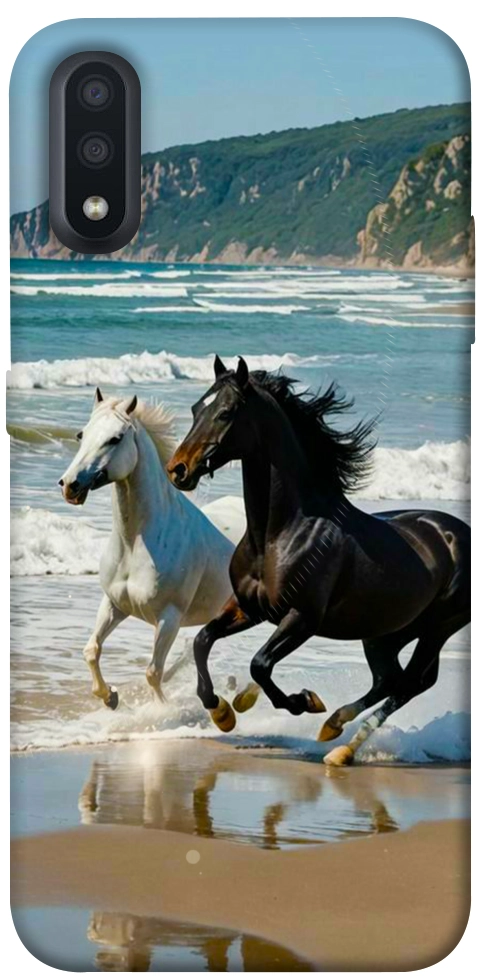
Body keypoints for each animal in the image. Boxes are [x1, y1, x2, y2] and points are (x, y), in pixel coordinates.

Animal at [59, 387, 234, 709]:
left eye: (115, 438)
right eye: (81, 434)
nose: (70, 485)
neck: (135, 544)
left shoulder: (169, 618)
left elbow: (153, 672)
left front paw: (161, 711)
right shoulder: (114, 604)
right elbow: (92, 650)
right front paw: (110, 697)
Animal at [166, 356, 470, 765]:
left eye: (226, 412)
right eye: (197, 408)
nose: (178, 469)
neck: (279, 534)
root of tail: (458, 533)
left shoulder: (302, 618)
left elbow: (260, 664)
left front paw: (303, 701)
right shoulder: (249, 608)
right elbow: (202, 640)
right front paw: (223, 712)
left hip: (438, 627)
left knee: (410, 683)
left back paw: (340, 746)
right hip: (386, 632)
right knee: (390, 679)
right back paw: (334, 729)